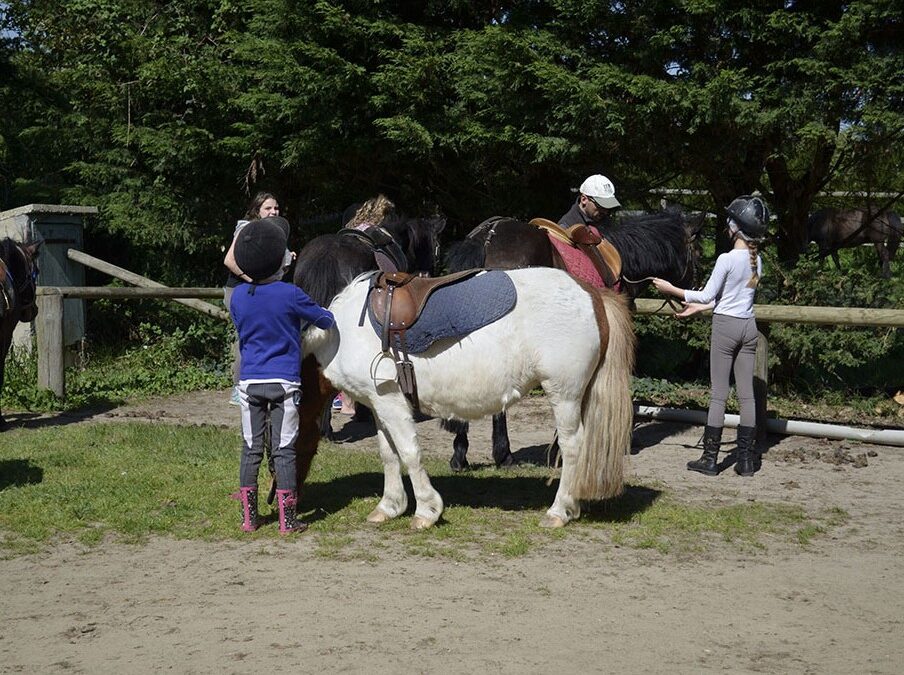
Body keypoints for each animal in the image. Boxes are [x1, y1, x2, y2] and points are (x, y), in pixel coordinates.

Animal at [300, 266, 632, 532]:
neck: (339, 334)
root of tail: (592, 294)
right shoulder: (380, 405)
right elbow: (389, 453)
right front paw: (389, 506)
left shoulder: (392, 403)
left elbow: (409, 453)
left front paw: (427, 511)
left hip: (564, 394)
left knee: (572, 446)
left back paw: (559, 511)